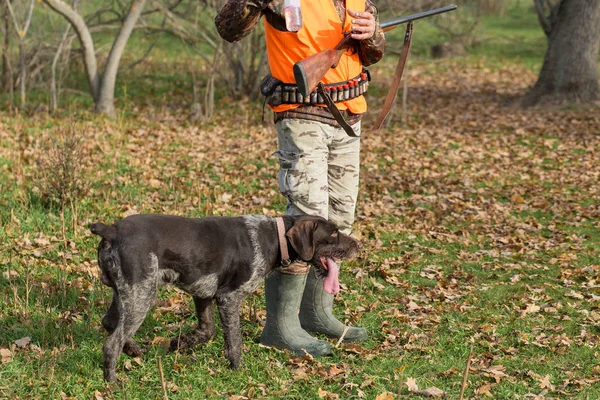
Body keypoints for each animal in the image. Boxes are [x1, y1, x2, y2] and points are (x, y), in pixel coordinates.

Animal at [90, 214, 360, 382]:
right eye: (333, 234)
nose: (359, 244)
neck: (273, 237)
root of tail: (111, 230)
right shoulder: (229, 298)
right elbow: (234, 340)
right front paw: (238, 369)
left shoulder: (203, 293)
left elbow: (206, 331)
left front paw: (180, 343)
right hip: (142, 294)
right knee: (111, 343)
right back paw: (113, 382)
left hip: (126, 292)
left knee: (109, 323)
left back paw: (134, 350)